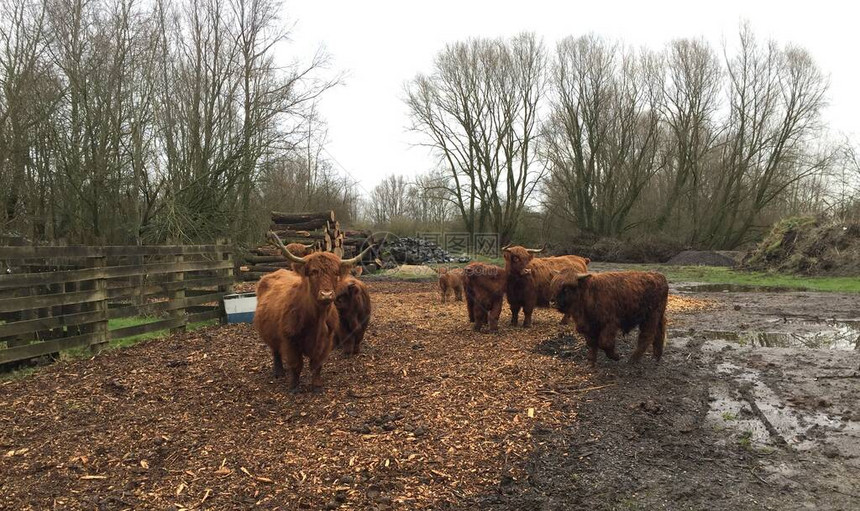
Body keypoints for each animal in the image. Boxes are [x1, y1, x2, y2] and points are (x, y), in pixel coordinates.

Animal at [250, 234, 368, 394]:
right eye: (313, 272)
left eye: (336, 273)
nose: (326, 294)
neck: (316, 319)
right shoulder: (290, 340)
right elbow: (296, 365)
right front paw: (294, 387)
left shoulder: (325, 341)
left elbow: (317, 364)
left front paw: (317, 385)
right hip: (270, 333)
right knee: (276, 351)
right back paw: (279, 372)